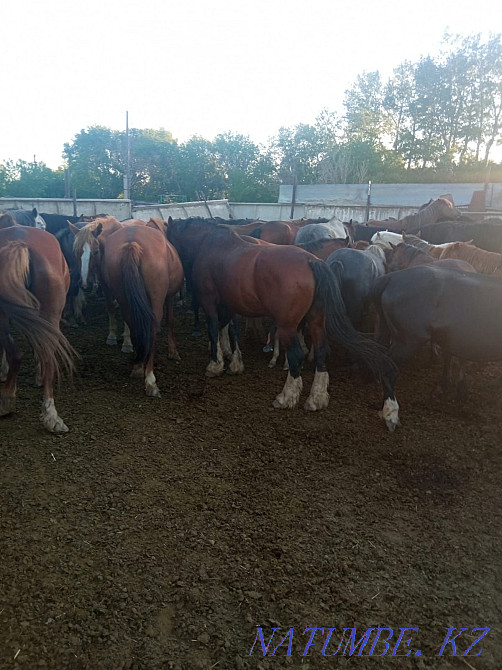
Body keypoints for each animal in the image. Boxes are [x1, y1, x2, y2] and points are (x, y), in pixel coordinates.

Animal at [99, 224, 183, 396]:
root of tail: (132, 242)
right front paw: (173, 352)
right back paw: (150, 380)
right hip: (156, 300)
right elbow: (170, 321)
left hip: (124, 298)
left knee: (133, 324)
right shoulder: (169, 297)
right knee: (151, 329)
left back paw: (138, 366)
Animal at [165, 217, 394, 411]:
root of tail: (312, 262)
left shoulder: (209, 301)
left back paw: (286, 396)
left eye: (168, 236)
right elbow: (230, 330)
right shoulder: (230, 305)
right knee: (321, 351)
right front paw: (234, 361)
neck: (212, 246)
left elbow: (214, 330)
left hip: (287, 326)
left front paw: (215, 364)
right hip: (316, 321)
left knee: (296, 355)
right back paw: (316, 399)